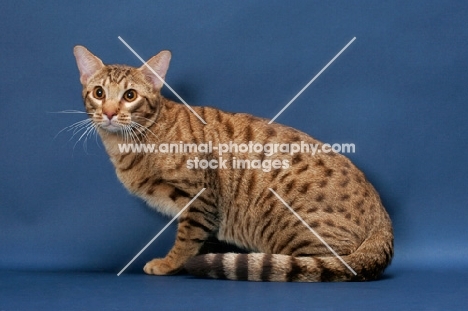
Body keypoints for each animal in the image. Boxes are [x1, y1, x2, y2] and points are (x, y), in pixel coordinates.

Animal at [74, 45, 394, 282]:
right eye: (99, 93)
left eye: (130, 95)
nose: (109, 112)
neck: (130, 144)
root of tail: (383, 217)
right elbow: (201, 240)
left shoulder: (200, 198)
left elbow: (187, 239)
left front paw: (170, 264)